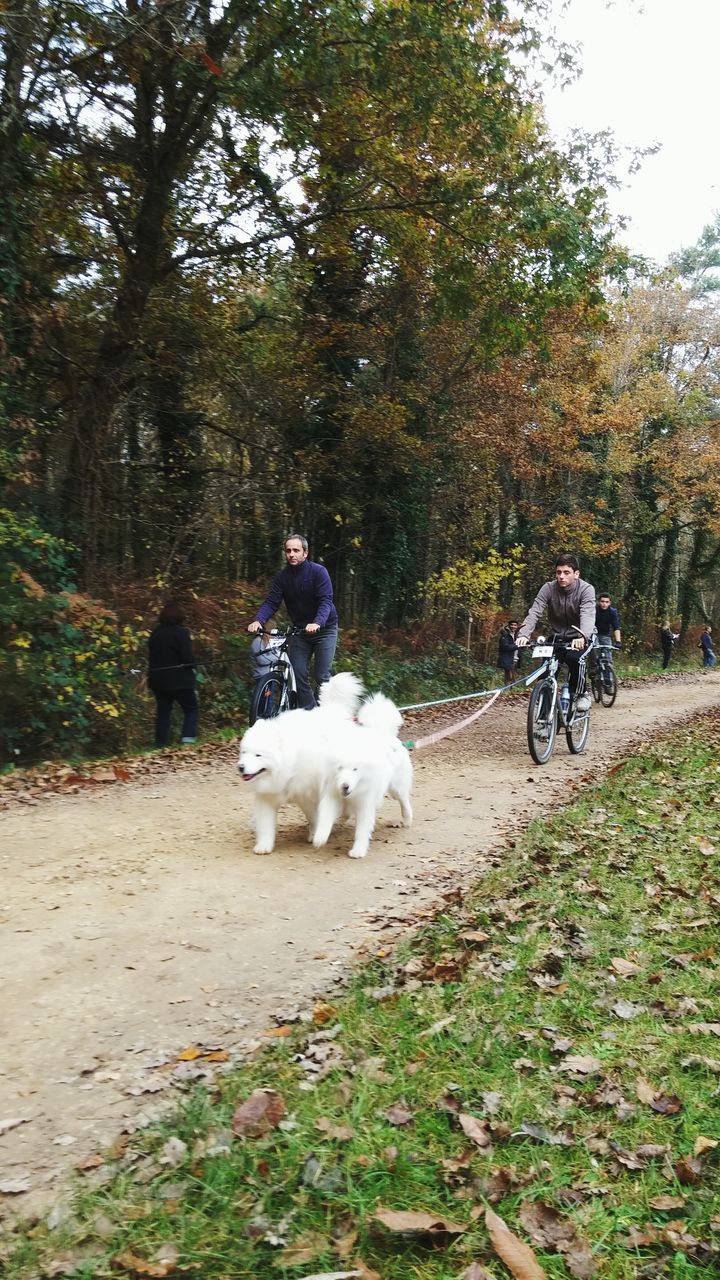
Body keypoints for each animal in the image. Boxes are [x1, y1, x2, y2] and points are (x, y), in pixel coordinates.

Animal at [238, 675, 363, 855]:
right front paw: (264, 846)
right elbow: (265, 825)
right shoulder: (267, 797)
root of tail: (335, 710)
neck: (288, 762)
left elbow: (313, 816)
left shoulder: (307, 794)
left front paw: (314, 834)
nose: (241, 767)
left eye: (258, 755)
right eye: (244, 752)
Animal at [311, 691, 412, 860]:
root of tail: (383, 733)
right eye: (340, 768)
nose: (345, 786)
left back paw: (407, 818)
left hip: (396, 788)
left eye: (355, 769)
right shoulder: (332, 795)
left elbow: (362, 830)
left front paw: (358, 850)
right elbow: (325, 817)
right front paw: (320, 837)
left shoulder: (365, 804)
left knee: (404, 800)